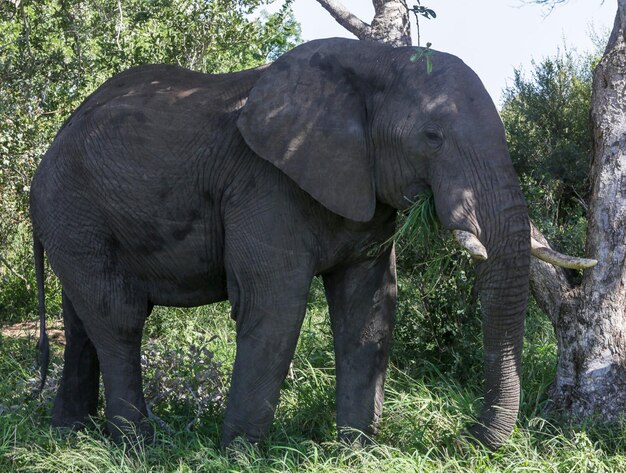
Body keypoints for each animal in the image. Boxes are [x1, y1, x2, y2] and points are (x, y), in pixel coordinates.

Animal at [29, 37, 592, 450]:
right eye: (432, 137)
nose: (465, 437)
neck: (376, 63)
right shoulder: (263, 182)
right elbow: (275, 309)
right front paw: (240, 455)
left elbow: (369, 312)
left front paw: (357, 451)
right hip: (74, 206)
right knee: (119, 318)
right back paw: (137, 446)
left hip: (74, 220)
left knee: (82, 321)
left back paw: (70, 436)